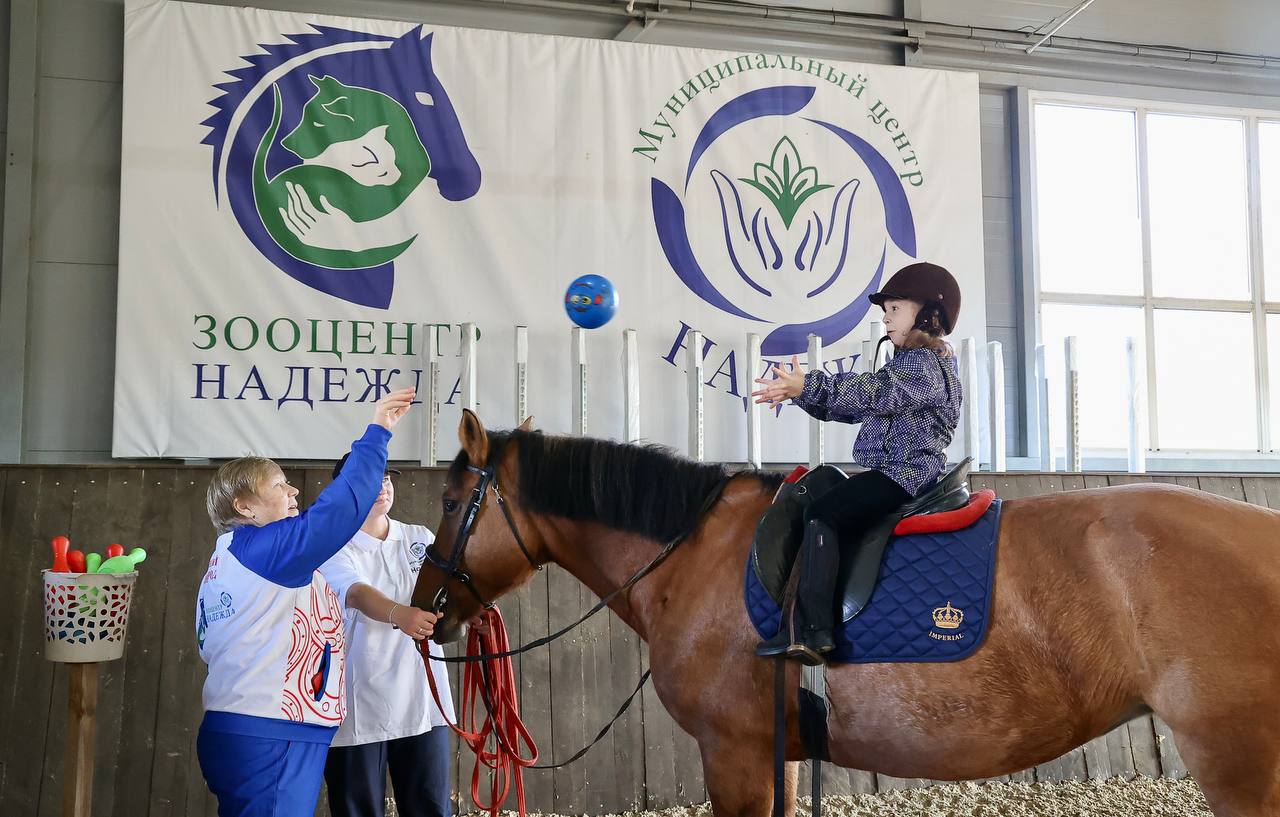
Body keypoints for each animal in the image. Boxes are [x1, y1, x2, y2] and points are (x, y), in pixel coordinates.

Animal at [414, 414, 1280, 817]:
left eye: (453, 503)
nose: (428, 610)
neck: (697, 553)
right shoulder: (780, 752)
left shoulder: (732, 754)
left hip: (1239, 759)